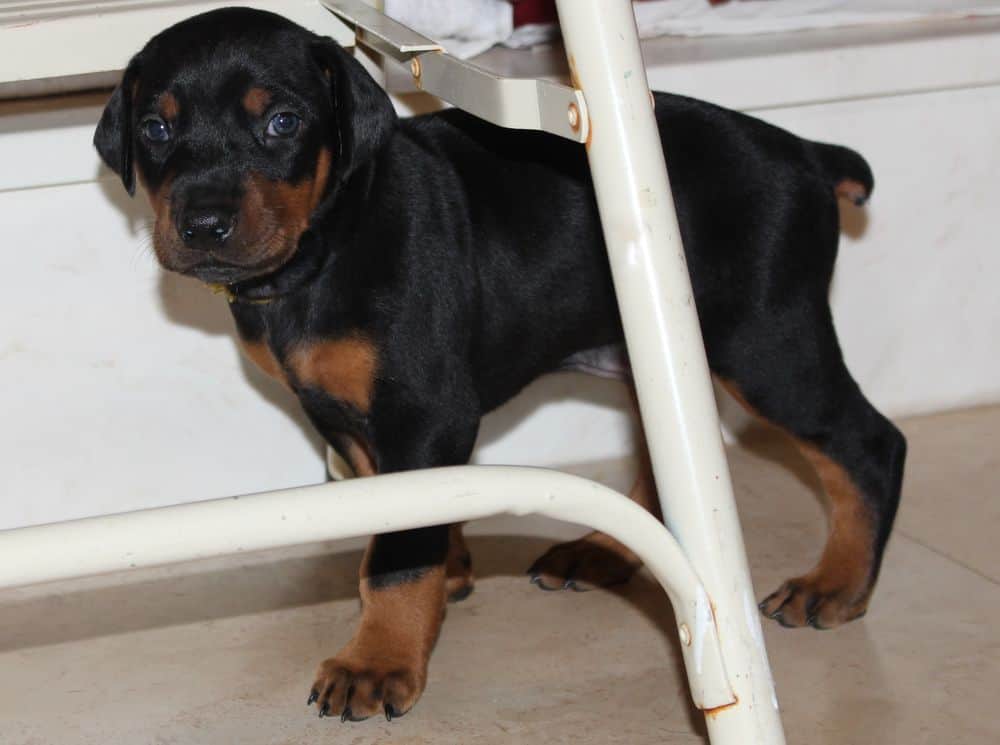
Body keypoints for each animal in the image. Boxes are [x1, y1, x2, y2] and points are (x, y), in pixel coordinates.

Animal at [95, 8, 908, 724]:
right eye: (156, 128)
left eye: (283, 123)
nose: (202, 224)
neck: (332, 241)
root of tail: (805, 154)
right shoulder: (350, 415)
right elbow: (405, 514)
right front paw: (449, 571)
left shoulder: (423, 406)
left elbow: (396, 554)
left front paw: (379, 660)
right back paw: (602, 552)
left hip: (767, 341)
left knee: (870, 443)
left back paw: (836, 584)